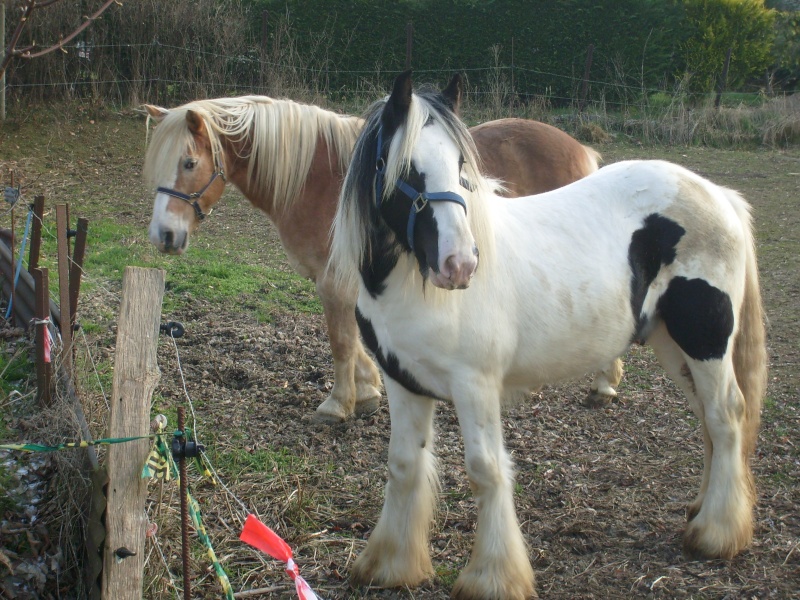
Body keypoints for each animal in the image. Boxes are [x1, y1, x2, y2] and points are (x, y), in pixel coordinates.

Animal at [144, 74, 620, 422]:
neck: (320, 178)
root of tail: (582, 149)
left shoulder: (335, 279)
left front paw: (338, 404)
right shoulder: (341, 280)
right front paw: (370, 389)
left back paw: (604, 382)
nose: (162, 236)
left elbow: (340, 338)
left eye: (189, 163)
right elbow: (354, 339)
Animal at [328, 71, 764, 600]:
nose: (460, 264)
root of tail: (718, 194)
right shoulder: (403, 380)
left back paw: (716, 535)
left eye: (460, 164)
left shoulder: (475, 385)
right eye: (404, 165)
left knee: (726, 416)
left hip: (706, 341)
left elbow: (486, 471)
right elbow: (404, 465)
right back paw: (702, 512)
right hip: (671, 343)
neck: (411, 282)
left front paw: (492, 578)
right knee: (707, 421)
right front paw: (391, 565)